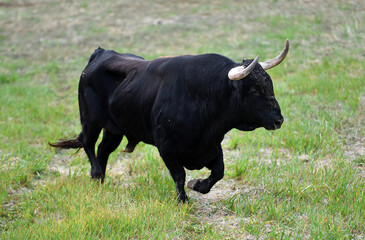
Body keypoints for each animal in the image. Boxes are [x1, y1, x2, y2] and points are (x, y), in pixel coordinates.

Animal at [49, 40, 288, 202]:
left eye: (270, 84)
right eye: (255, 90)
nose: (279, 120)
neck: (204, 94)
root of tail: (100, 53)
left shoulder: (211, 145)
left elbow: (218, 171)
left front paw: (198, 185)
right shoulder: (167, 148)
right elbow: (179, 175)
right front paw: (183, 199)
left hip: (115, 129)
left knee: (102, 150)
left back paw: (100, 180)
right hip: (90, 119)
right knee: (87, 143)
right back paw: (97, 174)